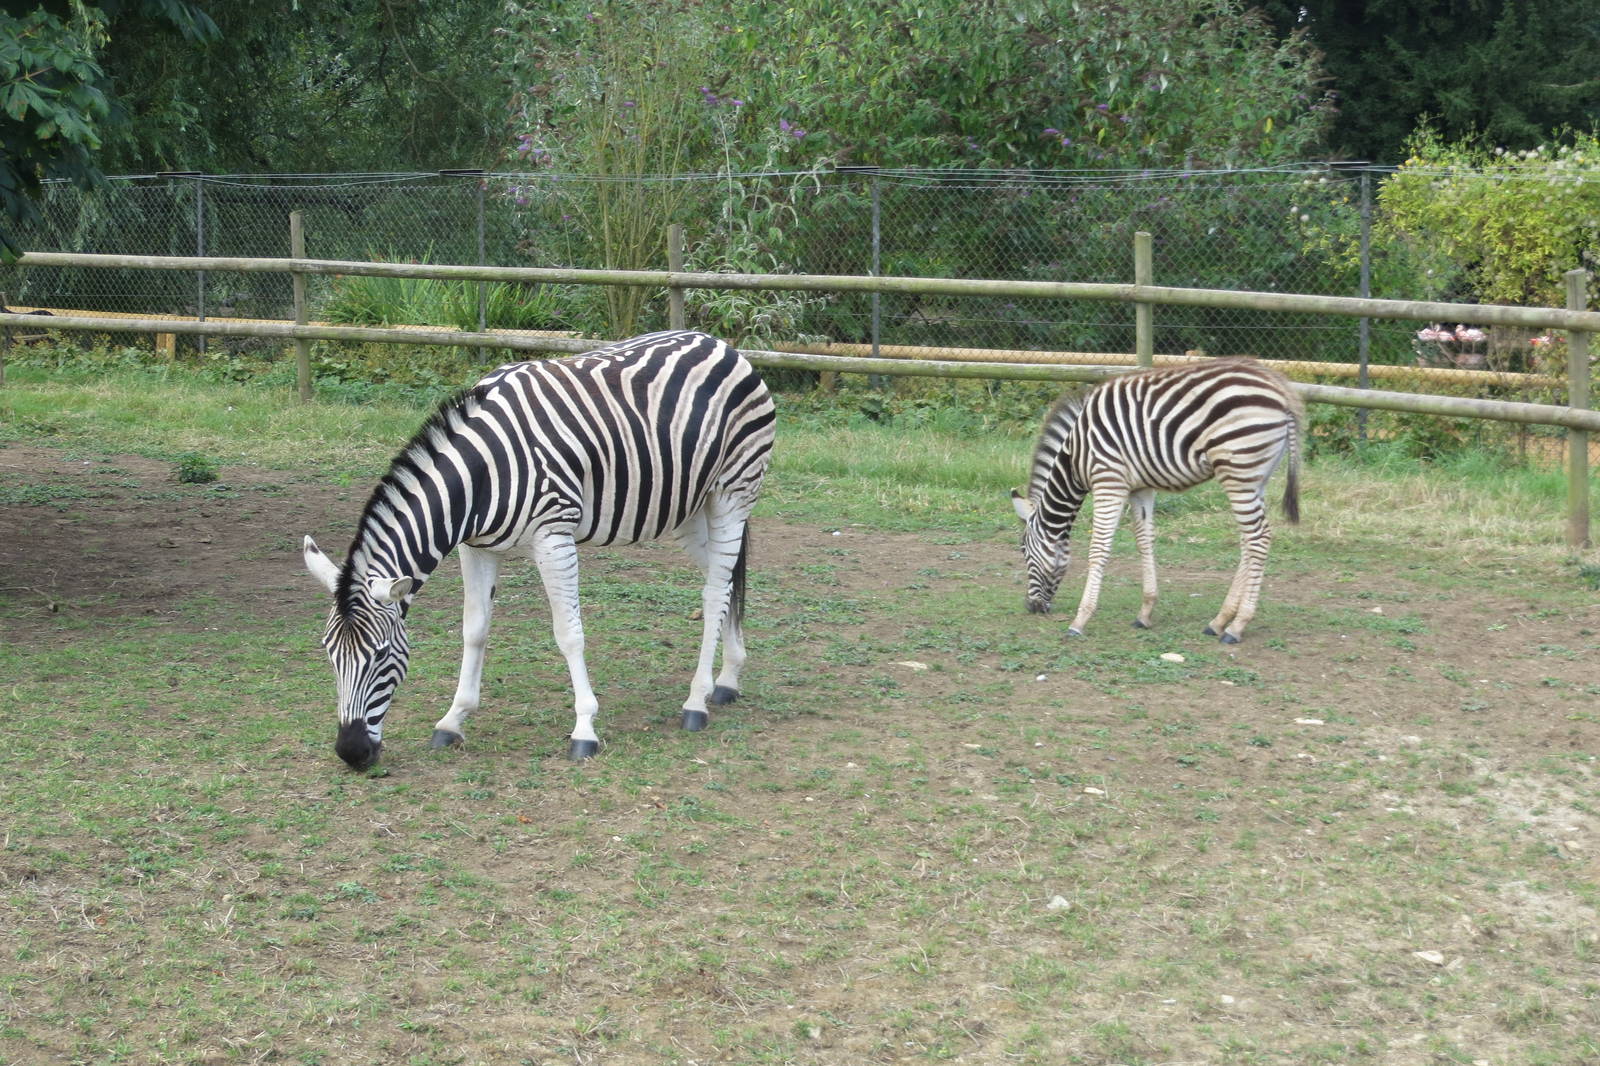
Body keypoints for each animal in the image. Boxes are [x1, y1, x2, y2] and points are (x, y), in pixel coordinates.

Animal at [302, 330, 776, 769]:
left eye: (381, 654)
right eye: (328, 652)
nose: (351, 752)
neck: (479, 475)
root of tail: (717, 342)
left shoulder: (554, 538)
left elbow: (568, 634)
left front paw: (584, 728)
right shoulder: (476, 548)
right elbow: (474, 630)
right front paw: (453, 719)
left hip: (733, 491)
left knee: (714, 592)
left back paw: (696, 701)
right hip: (688, 509)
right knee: (725, 581)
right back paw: (727, 679)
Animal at [1010, 358, 1303, 644]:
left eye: (1023, 550)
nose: (1030, 607)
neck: (1074, 457)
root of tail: (1281, 390)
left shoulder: (1109, 480)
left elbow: (1099, 547)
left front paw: (1079, 621)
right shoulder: (1140, 487)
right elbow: (1144, 540)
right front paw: (1145, 612)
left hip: (1238, 469)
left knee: (1259, 538)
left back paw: (1237, 626)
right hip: (1256, 477)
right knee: (1248, 540)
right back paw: (1219, 621)